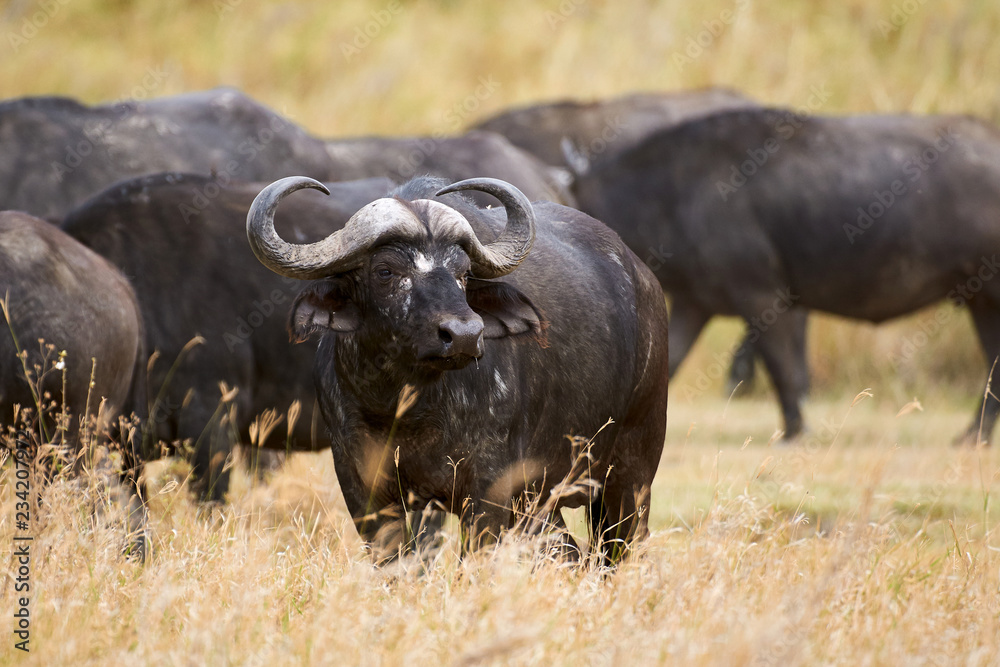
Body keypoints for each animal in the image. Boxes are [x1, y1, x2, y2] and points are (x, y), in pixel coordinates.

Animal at [246, 175, 669, 563]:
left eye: (463, 274)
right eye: (385, 271)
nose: (465, 335)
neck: (405, 408)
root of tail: (644, 280)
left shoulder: (488, 489)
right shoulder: (362, 486)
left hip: (631, 474)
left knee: (615, 551)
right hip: (542, 503)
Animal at [571, 106, 1000, 443]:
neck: (674, 191)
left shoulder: (762, 296)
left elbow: (782, 366)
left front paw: (795, 430)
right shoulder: (693, 304)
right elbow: (670, 360)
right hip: (980, 298)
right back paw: (974, 434)